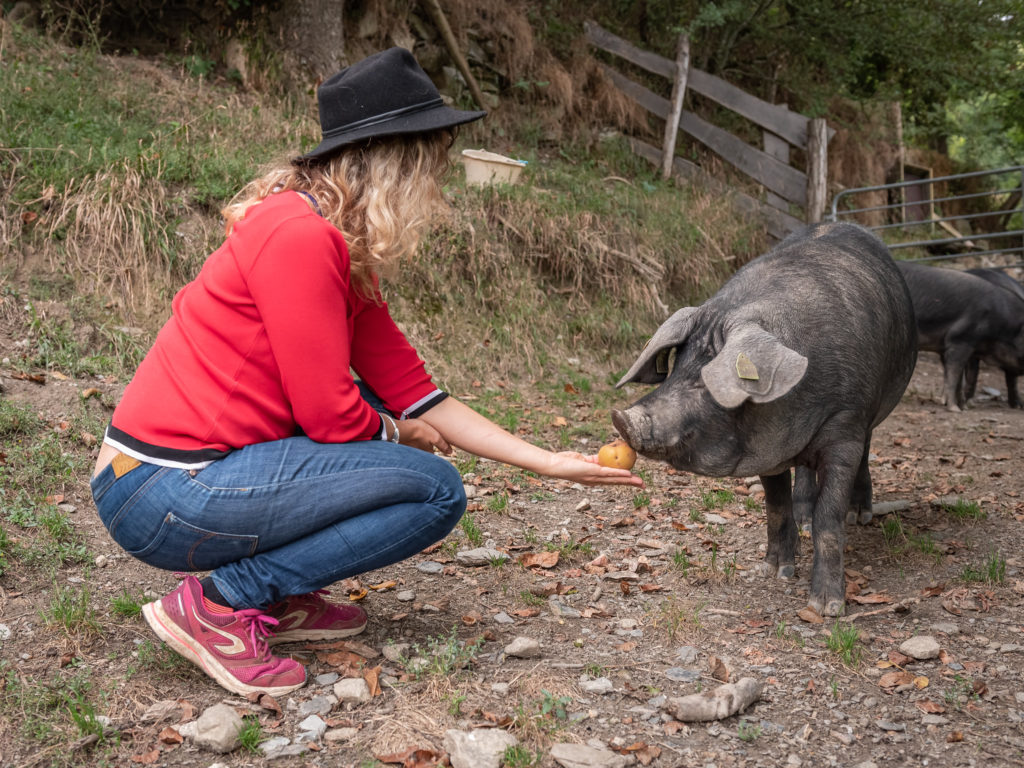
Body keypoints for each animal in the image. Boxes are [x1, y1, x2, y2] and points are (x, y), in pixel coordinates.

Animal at [610, 222, 917, 618]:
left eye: (707, 380)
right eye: (675, 366)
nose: (622, 418)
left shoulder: (846, 423)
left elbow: (829, 516)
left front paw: (827, 608)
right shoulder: (770, 448)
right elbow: (775, 506)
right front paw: (774, 571)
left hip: (872, 413)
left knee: (864, 452)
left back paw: (859, 515)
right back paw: (804, 517)